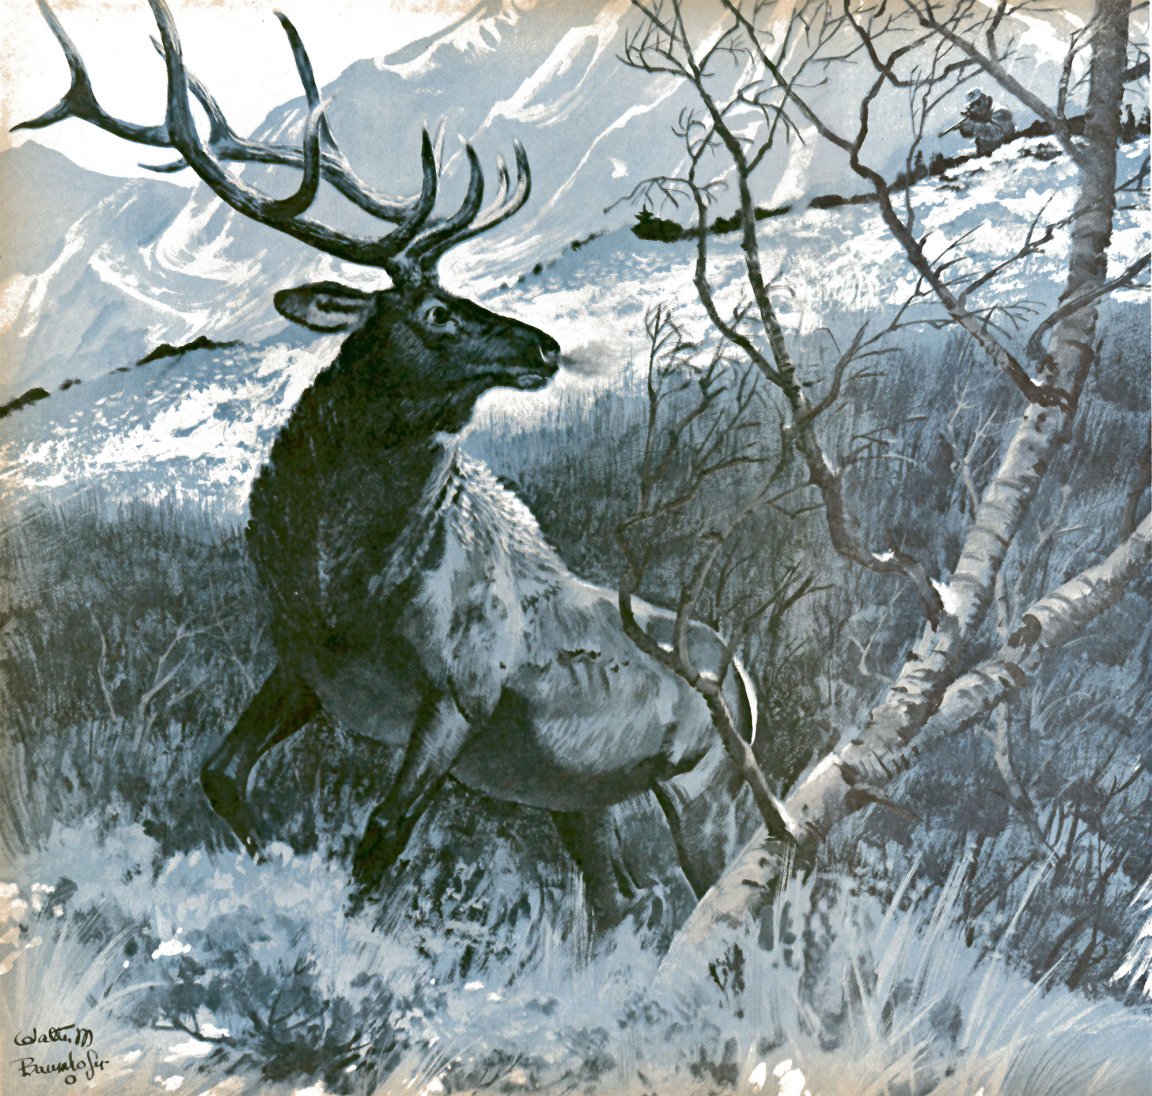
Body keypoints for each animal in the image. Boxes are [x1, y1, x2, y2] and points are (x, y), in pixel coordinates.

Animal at [22, 0, 771, 930]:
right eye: (436, 311)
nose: (545, 346)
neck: (339, 588)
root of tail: (749, 681)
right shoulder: (303, 671)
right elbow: (220, 774)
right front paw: (272, 858)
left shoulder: (461, 696)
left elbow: (378, 838)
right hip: (578, 801)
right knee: (621, 902)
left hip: (711, 785)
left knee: (742, 891)